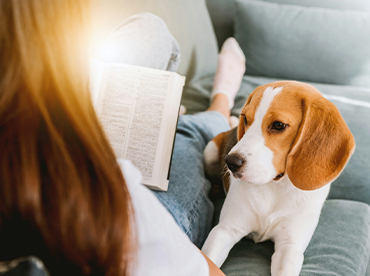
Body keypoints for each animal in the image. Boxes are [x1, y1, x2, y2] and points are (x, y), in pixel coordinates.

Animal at [202, 81, 356, 276]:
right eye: (245, 118)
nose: (231, 162)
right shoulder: (225, 230)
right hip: (210, 151)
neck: (275, 186)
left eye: (278, 125)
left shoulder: (290, 247)